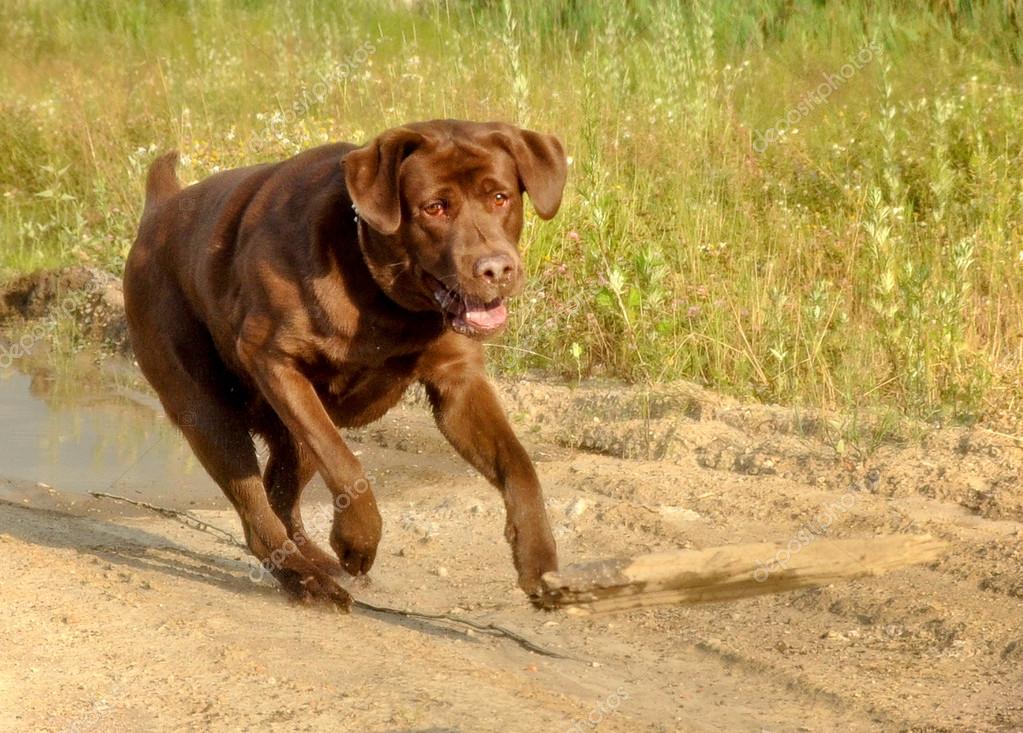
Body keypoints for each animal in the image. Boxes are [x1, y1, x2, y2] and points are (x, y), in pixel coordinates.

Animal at [123, 120, 568, 609]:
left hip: (294, 424)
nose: (496, 269)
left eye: (501, 197)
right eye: (434, 207)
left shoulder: (459, 385)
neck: (385, 300)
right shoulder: (274, 360)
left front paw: (538, 561)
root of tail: (158, 210)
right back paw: (306, 578)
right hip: (208, 411)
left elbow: (519, 466)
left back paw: (318, 562)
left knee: (281, 493)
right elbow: (346, 463)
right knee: (257, 508)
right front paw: (358, 540)